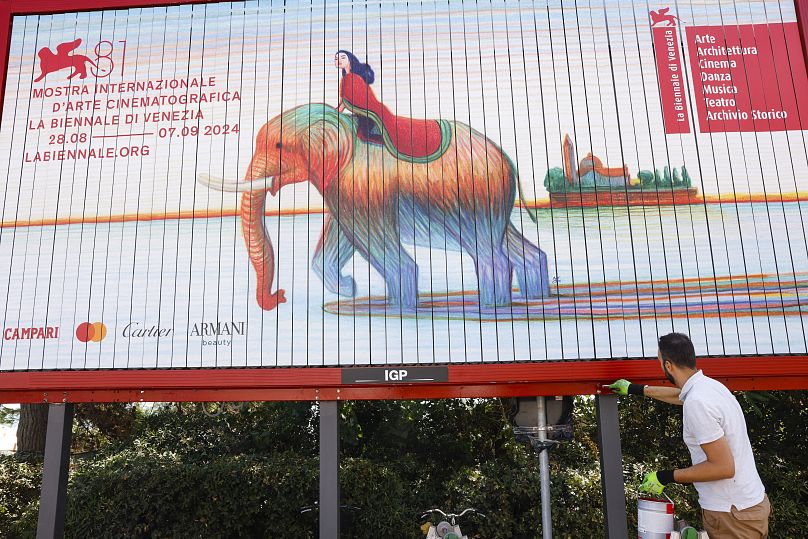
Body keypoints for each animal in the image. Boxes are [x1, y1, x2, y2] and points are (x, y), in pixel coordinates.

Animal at [198, 104, 548, 312]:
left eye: (279, 145)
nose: (279, 296)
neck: (339, 126)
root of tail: (508, 162)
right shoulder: (345, 190)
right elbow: (336, 242)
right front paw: (350, 288)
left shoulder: (363, 186)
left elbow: (378, 247)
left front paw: (399, 311)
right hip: (490, 204)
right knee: (514, 245)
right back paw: (533, 296)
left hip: (472, 200)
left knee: (489, 253)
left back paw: (491, 307)